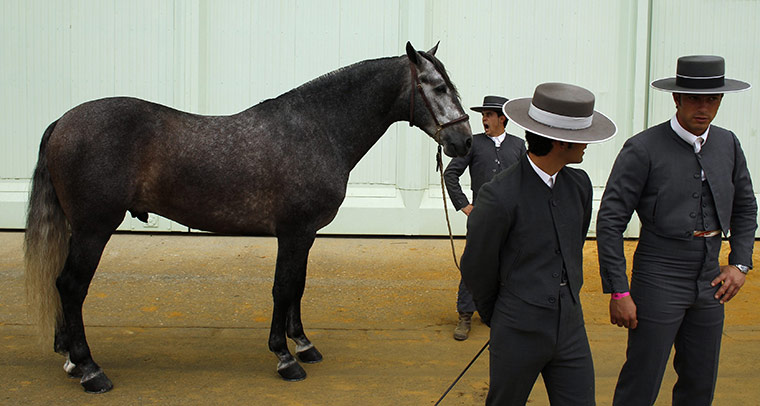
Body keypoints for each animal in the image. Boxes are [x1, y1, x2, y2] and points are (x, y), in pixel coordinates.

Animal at [23, 42, 472, 393]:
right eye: (438, 87)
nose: (464, 142)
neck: (317, 129)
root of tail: (63, 121)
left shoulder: (305, 235)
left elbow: (297, 287)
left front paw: (303, 345)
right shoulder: (292, 233)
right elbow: (282, 288)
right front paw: (284, 358)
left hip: (79, 229)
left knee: (63, 284)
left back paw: (70, 358)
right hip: (93, 229)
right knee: (71, 286)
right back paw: (89, 369)